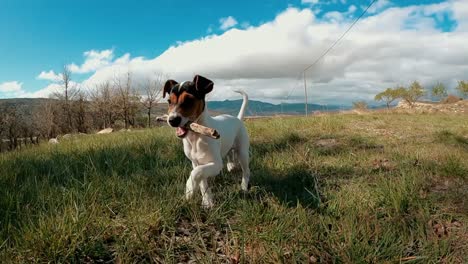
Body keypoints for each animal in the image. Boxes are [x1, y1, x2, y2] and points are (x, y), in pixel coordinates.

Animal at [163, 75, 250, 208]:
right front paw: (207, 201)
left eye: (189, 100)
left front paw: (189, 188)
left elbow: (195, 173)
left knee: (246, 170)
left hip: (243, 152)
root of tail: (237, 119)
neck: (195, 138)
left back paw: (244, 186)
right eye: (169, 101)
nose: (172, 120)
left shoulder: (216, 165)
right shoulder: (196, 162)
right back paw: (231, 165)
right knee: (230, 153)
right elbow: (202, 181)